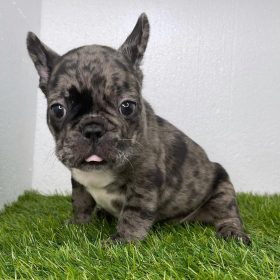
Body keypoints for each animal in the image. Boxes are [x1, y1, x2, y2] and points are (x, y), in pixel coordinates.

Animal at [25, 13, 249, 243]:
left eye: (127, 107)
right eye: (58, 109)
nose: (93, 129)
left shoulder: (145, 179)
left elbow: (134, 211)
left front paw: (123, 240)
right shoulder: (79, 181)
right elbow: (80, 202)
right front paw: (77, 225)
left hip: (223, 189)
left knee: (227, 212)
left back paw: (233, 233)